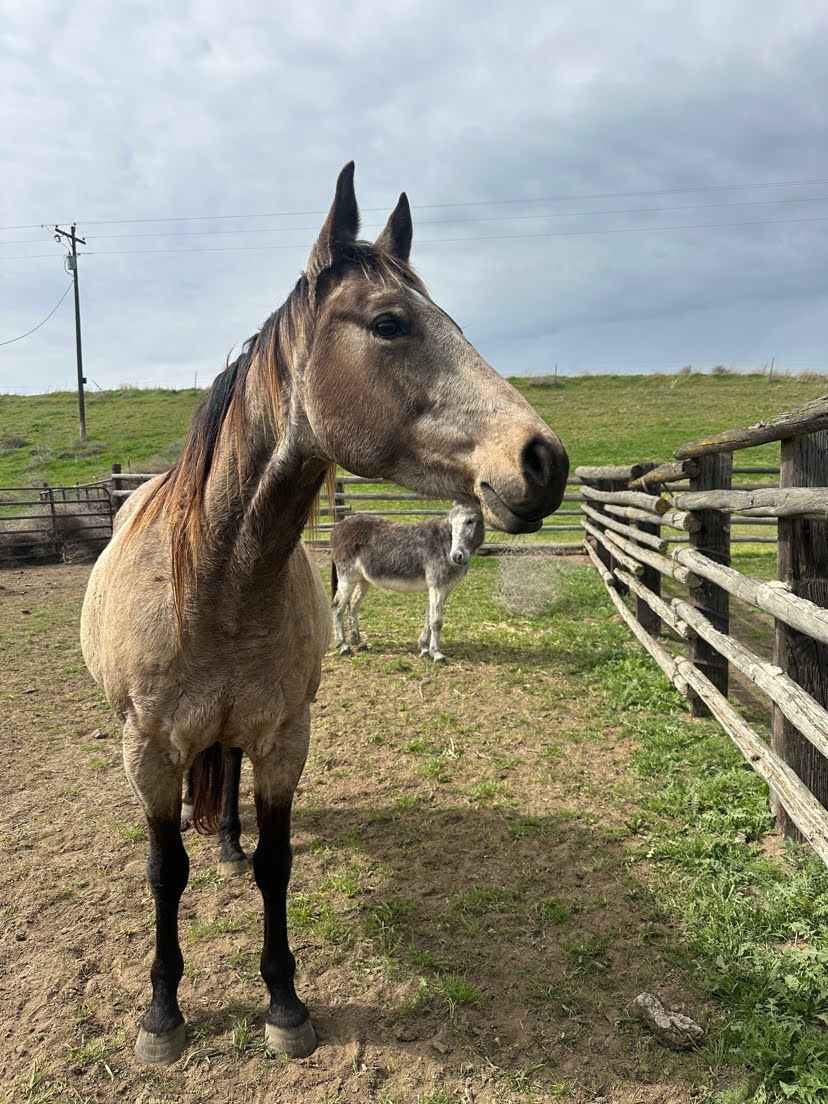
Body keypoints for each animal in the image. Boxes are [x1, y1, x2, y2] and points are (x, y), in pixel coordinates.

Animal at [330, 503, 485, 662]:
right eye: (451, 523)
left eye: (470, 521)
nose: (456, 556)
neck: (445, 543)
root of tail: (337, 527)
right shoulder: (437, 586)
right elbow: (436, 621)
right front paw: (436, 654)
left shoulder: (445, 588)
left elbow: (429, 616)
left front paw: (424, 649)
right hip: (347, 577)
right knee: (337, 607)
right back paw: (343, 646)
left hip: (363, 579)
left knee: (353, 605)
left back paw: (359, 642)